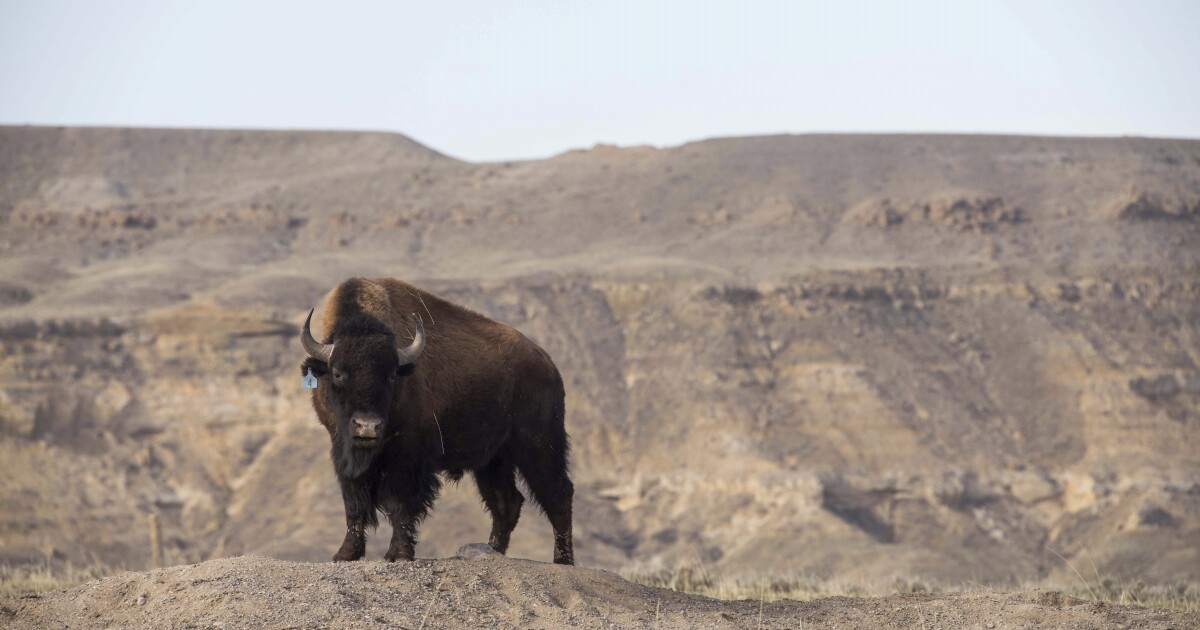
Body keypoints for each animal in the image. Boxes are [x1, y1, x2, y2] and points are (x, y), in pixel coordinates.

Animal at [300, 277, 574, 565]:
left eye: (391, 375)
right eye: (338, 373)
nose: (367, 426)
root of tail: (548, 365)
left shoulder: (407, 456)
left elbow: (399, 503)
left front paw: (398, 553)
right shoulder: (342, 450)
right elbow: (353, 504)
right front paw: (345, 553)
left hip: (539, 445)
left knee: (558, 496)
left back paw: (563, 561)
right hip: (493, 460)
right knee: (507, 502)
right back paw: (493, 551)